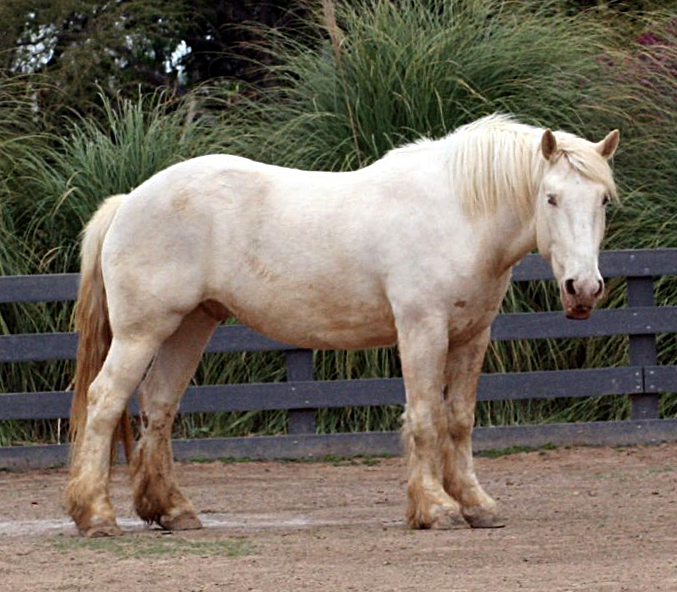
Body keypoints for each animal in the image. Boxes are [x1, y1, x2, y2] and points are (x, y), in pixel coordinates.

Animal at [65, 114, 619, 537]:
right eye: (550, 197)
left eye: (603, 200)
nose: (583, 289)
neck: (457, 212)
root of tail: (129, 200)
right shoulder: (422, 330)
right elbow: (426, 418)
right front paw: (436, 508)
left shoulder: (471, 336)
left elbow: (459, 420)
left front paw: (476, 505)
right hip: (141, 333)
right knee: (105, 401)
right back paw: (96, 516)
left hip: (190, 327)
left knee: (159, 408)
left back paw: (173, 511)